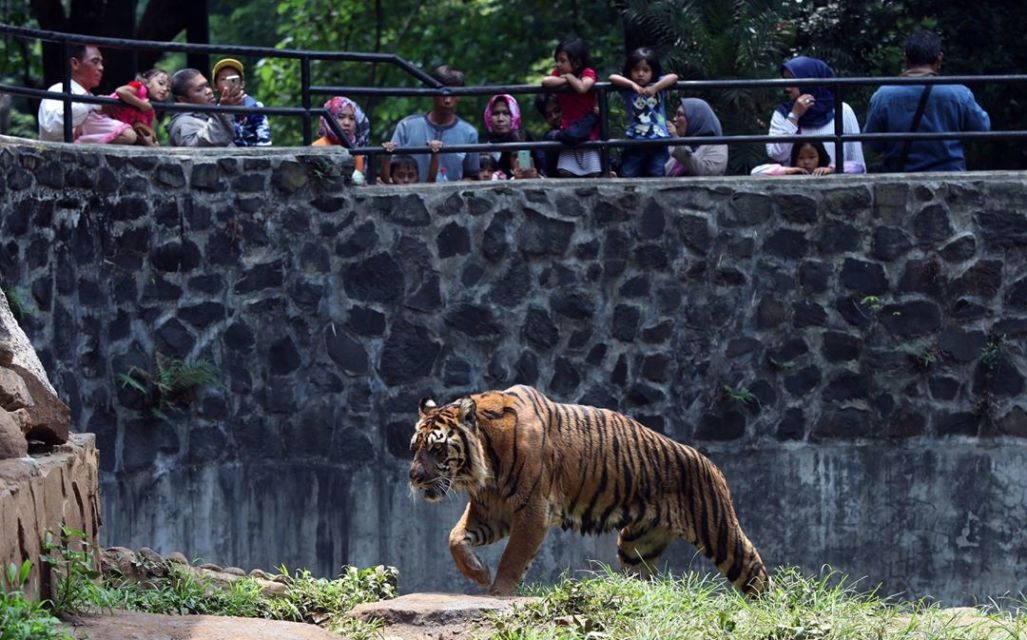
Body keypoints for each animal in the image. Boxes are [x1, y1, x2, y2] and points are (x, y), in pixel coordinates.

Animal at [408, 386, 772, 599]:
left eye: (437, 450)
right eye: (415, 448)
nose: (413, 476)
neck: (484, 466)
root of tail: (710, 462)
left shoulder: (532, 511)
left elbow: (513, 558)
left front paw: (498, 591)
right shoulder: (489, 512)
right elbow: (455, 539)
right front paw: (479, 573)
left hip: (719, 533)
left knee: (754, 571)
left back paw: (764, 607)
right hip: (636, 545)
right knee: (645, 578)